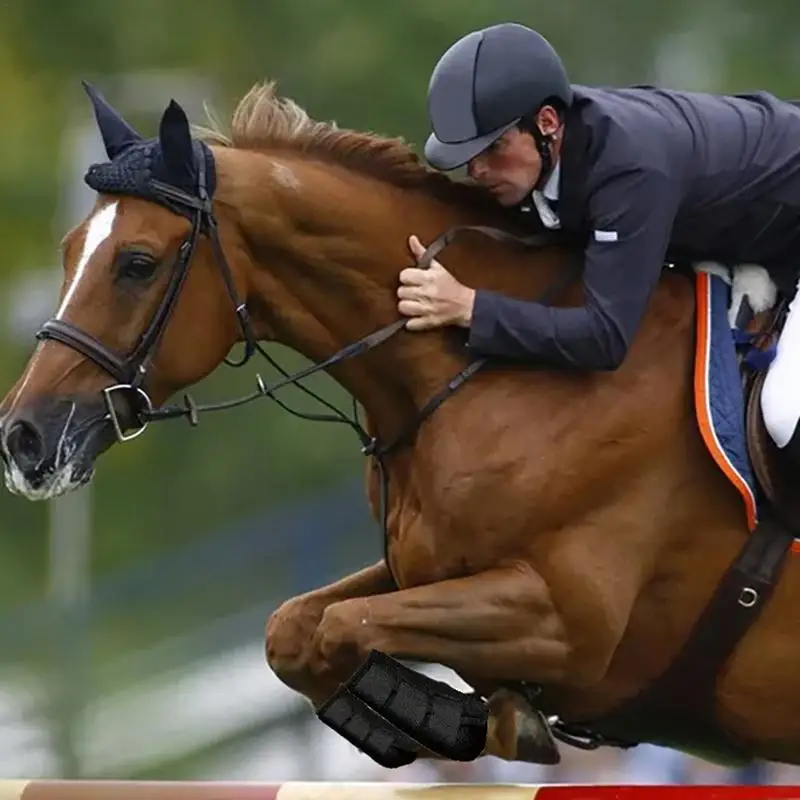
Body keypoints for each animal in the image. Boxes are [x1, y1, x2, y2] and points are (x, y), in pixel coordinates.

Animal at [2, 78, 800, 770]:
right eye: (69, 251)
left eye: (136, 263)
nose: (23, 438)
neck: (493, 372)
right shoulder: (418, 565)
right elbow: (292, 627)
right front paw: (468, 717)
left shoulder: (566, 622)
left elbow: (343, 626)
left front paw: (479, 719)